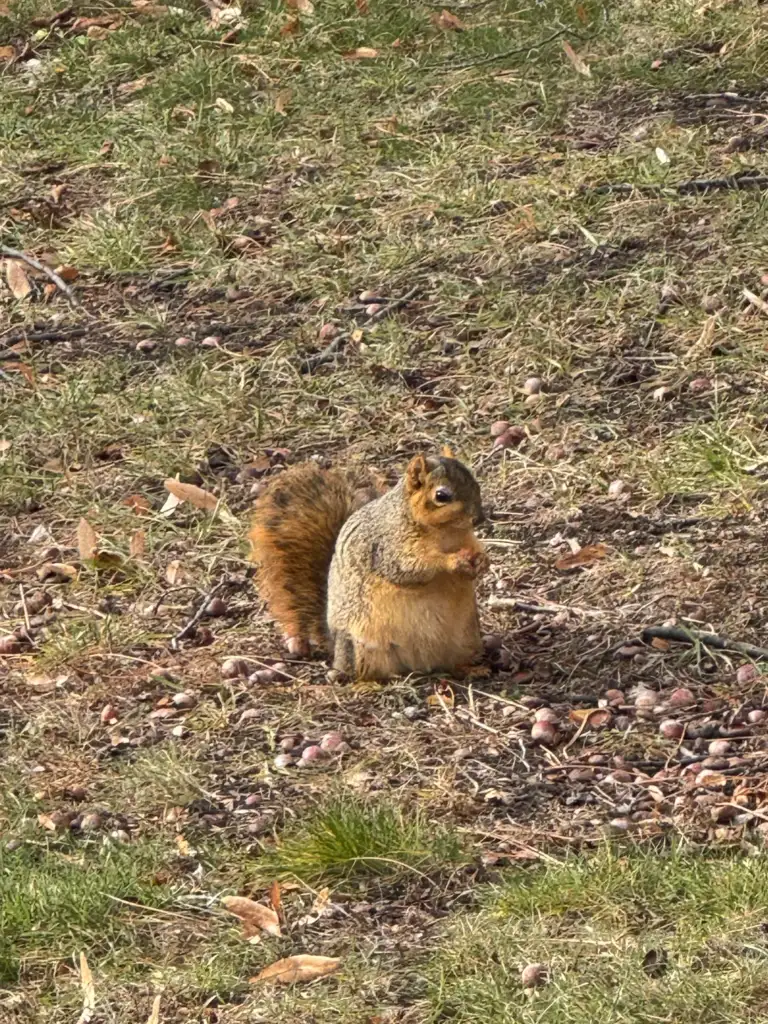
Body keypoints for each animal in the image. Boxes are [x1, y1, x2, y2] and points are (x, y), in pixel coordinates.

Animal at [247, 448, 487, 679]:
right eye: (441, 495)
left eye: (475, 482)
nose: (479, 519)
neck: (446, 533)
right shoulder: (386, 547)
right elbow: (410, 568)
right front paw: (453, 561)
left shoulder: (466, 538)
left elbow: (474, 548)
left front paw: (483, 560)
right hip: (361, 647)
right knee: (363, 672)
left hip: (466, 637)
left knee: (450, 663)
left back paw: (469, 669)